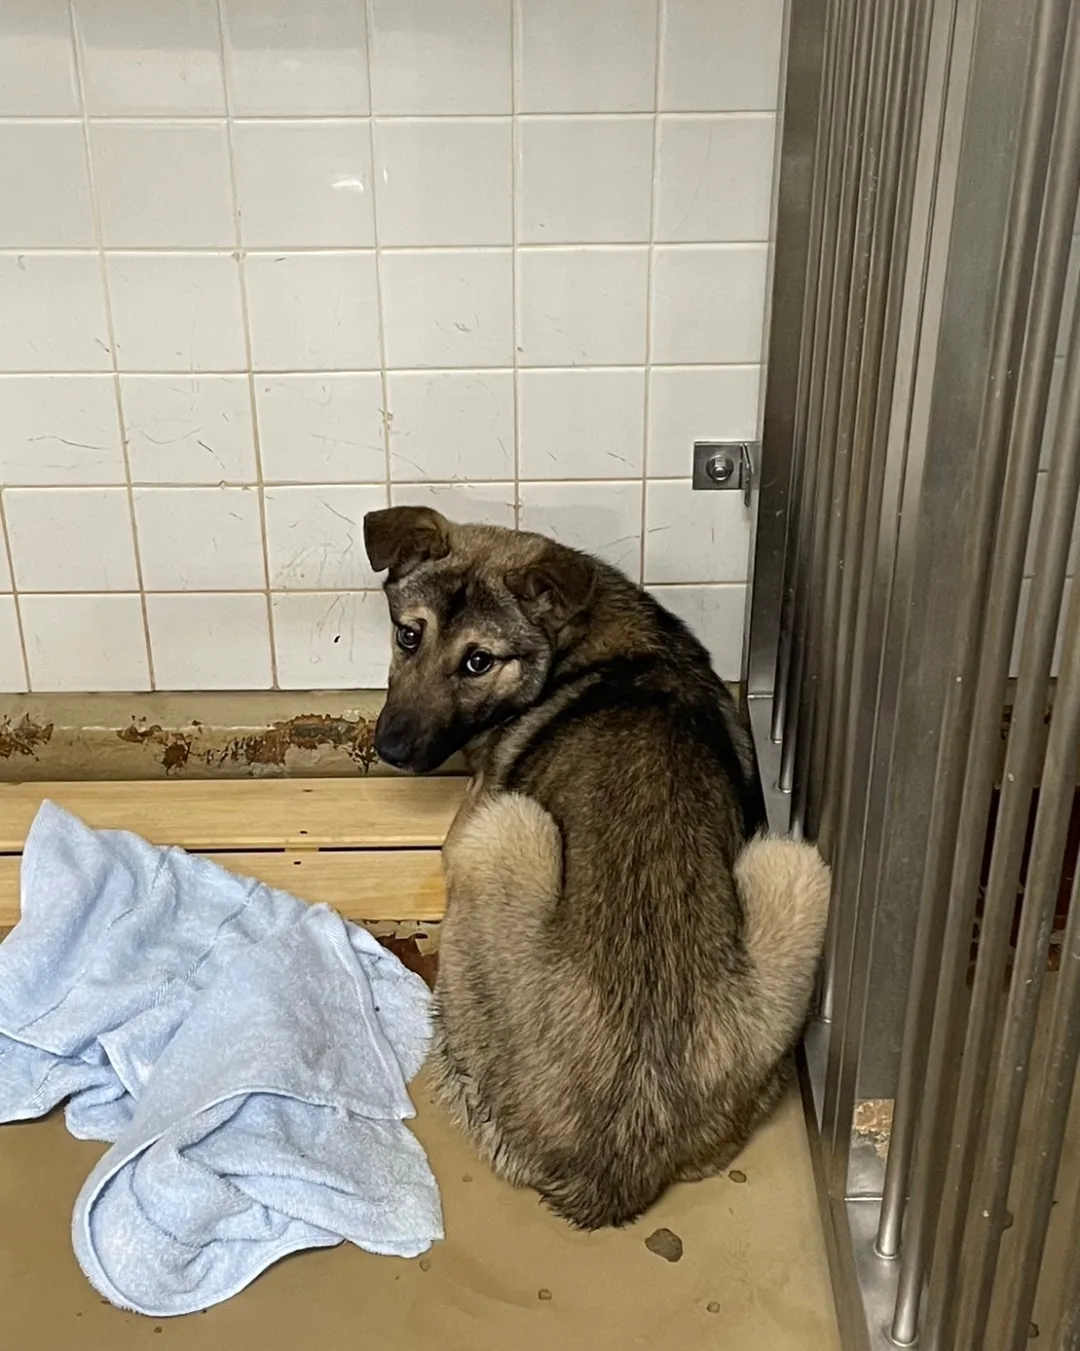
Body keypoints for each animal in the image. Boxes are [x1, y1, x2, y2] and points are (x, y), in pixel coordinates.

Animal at [363, 506, 830, 1229]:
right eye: (409, 635)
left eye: (478, 660)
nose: (392, 748)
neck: (578, 642)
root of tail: (616, 1162)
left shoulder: (471, 822)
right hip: (795, 863)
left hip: (508, 829)